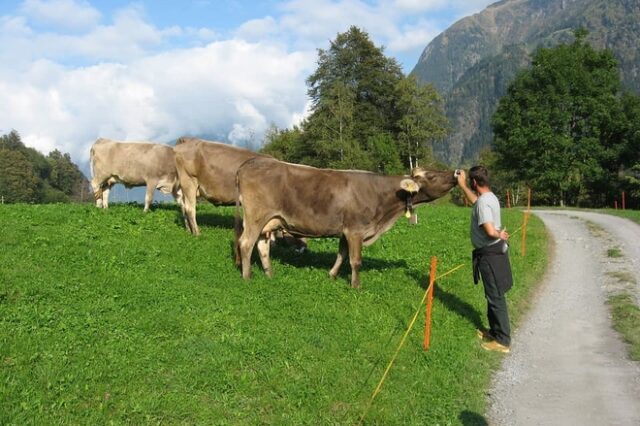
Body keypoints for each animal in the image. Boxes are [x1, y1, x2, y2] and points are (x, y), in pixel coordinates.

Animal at [238, 157, 458, 290]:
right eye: (432, 176)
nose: (456, 173)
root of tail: (255, 161)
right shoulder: (356, 230)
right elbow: (355, 260)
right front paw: (356, 285)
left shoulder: (345, 231)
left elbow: (341, 255)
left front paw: (332, 274)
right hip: (256, 216)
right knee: (246, 243)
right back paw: (247, 276)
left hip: (269, 222)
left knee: (262, 246)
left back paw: (269, 274)